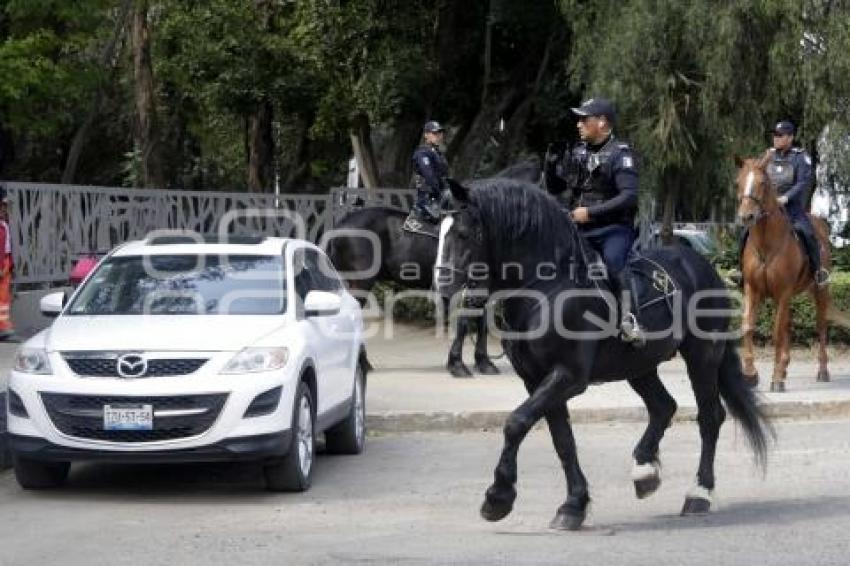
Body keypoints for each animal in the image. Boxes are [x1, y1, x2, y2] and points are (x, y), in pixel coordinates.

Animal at [434, 179, 772, 532]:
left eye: (463, 232)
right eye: (439, 229)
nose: (442, 283)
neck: (546, 289)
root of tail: (703, 266)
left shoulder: (567, 376)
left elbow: (516, 422)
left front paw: (498, 497)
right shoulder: (538, 380)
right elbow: (562, 440)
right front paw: (573, 505)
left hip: (702, 356)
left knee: (709, 417)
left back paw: (699, 493)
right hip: (640, 366)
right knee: (663, 407)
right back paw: (644, 472)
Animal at [728, 158, 828, 392]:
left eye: (763, 182)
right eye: (738, 182)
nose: (746, 216)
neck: (766, 244)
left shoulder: (783, 292)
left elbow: (776, 332)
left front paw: (775, 379)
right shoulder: (752, 290)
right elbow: (748, 326)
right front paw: (750, 374)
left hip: (820, 290)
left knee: (820, 326)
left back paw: (821, 370)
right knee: (788, 325)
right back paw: (784, 366)